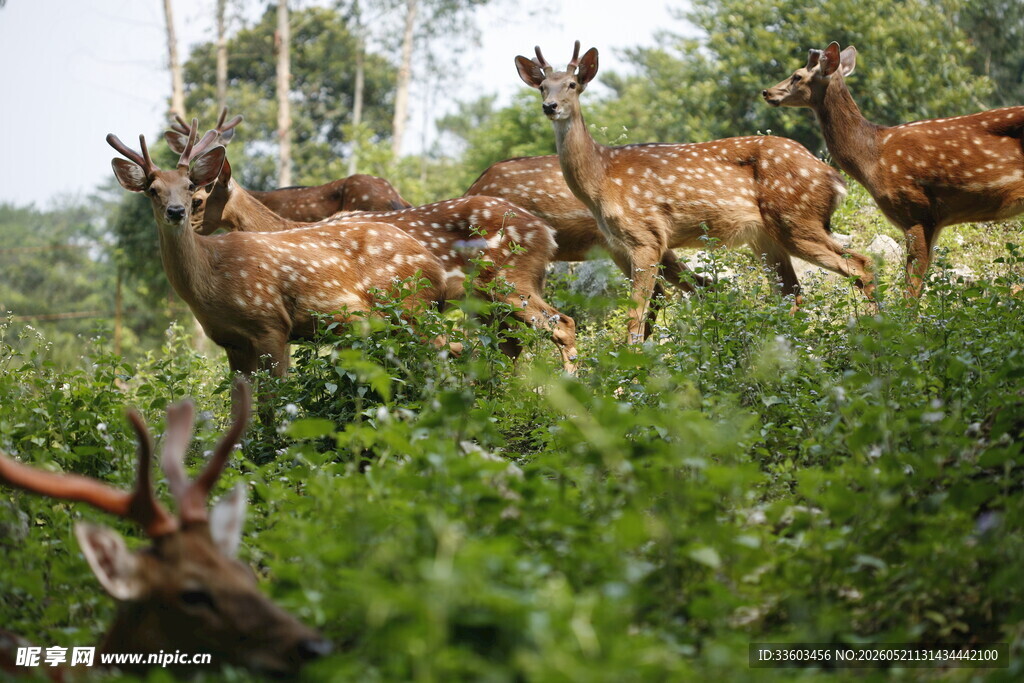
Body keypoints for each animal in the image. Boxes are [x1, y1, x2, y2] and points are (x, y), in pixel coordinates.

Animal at [164, 127, 579, 372]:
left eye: (198, 198)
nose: (180, 221)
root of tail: (547, 233)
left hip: (510, 283)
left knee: (561, 325)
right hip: (491, 299)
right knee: (511, 345)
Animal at [516, 41, 876, 343]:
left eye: (572, 85)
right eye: (542, 87)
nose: (550, 106)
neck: (601, 178)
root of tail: (834, 178)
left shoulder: (645, 236)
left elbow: (636, 318)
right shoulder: (639, 242)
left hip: (796, 220)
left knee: (860, 263)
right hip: (766, 237)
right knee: (792, 291)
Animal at [763, 42, 1024, 296]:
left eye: (797, 76)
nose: (767, 92)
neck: (872, 157)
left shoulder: (916, 211)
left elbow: (911, 289)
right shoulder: (933, 220)